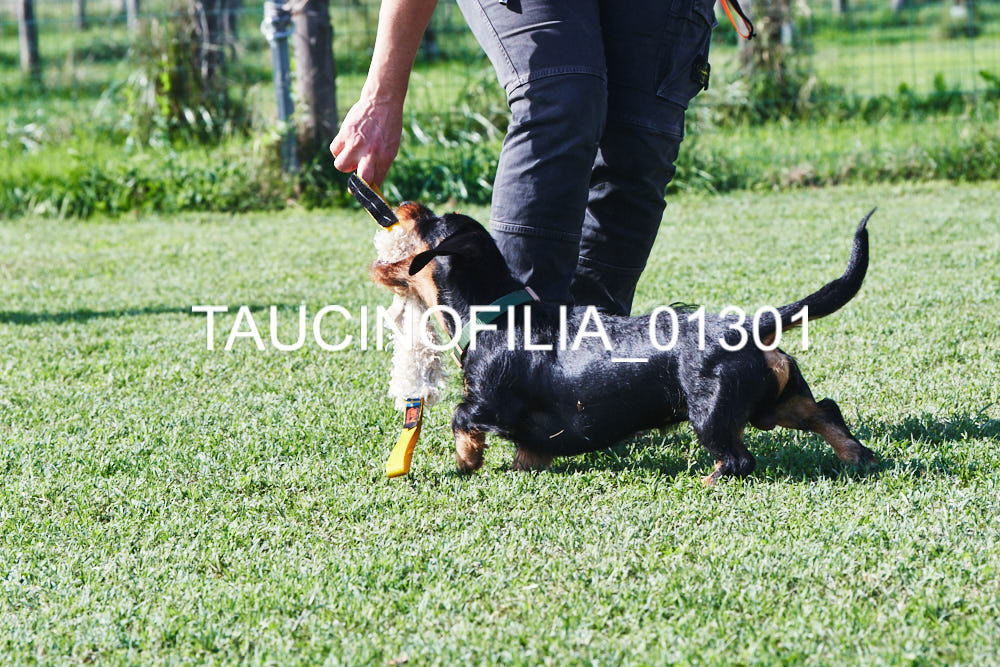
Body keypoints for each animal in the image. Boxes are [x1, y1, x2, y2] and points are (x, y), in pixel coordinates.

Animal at [370, 203, 877, 484]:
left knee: (739, 460)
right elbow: (527, 455)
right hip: (775, 403)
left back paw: (706, 482)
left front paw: (466, 463)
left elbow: (460, 418)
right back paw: (859, 457)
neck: (499, 313)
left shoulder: (487, 401)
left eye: (429, 222)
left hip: (710, 412)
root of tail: (747, 327)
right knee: (826, 411)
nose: (406, 202)